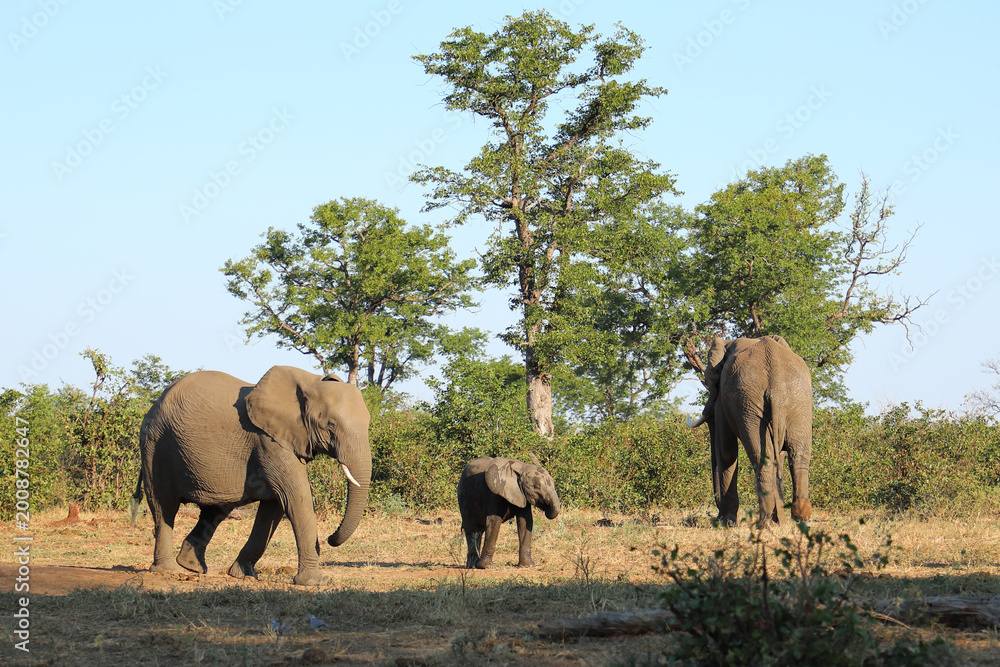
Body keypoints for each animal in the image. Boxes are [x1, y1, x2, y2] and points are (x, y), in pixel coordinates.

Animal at [130, 365, 371, 586]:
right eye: (330, 425)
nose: (331, 538)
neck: (309, 383)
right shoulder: (268, 440)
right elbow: (296, 499)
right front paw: (314, 583)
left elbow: (274, 506)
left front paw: (244, 575)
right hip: (156, 445)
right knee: (163, 506)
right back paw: (167, 571)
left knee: (215, 511)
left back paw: (191, 566)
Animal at [689, 336, 812, 526]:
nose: (716, 516)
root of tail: (776, 381)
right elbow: (779, 455)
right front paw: (780, 521)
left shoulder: (724, 398)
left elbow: (726, 449)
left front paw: (727, 523)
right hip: (796, 402)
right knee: (798, 455)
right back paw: (798, 518)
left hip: (751, 405)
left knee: (762, 457)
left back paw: (764, 523)